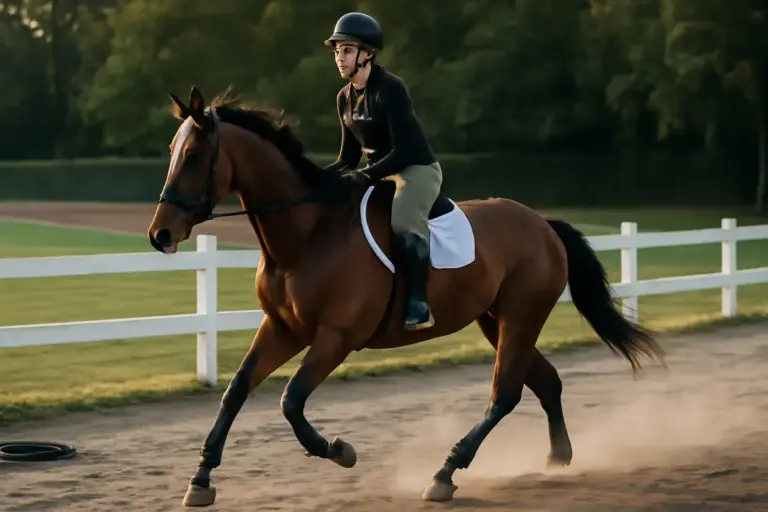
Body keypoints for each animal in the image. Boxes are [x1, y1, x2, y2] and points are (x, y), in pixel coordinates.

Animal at [147, 86, 666, 507]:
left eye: (193, 154)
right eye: (171, 149)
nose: (160, 234)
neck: (306, 235)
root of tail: (543, 224)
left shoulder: (335, 337)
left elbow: (291, 401)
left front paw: (340, 451)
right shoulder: (283, 329)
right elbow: (236, 390)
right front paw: (200, 479)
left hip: (521, 316)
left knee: (505, 393)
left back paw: (445, 473)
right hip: (495, 320)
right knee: (546, 382)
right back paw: (558, 457)